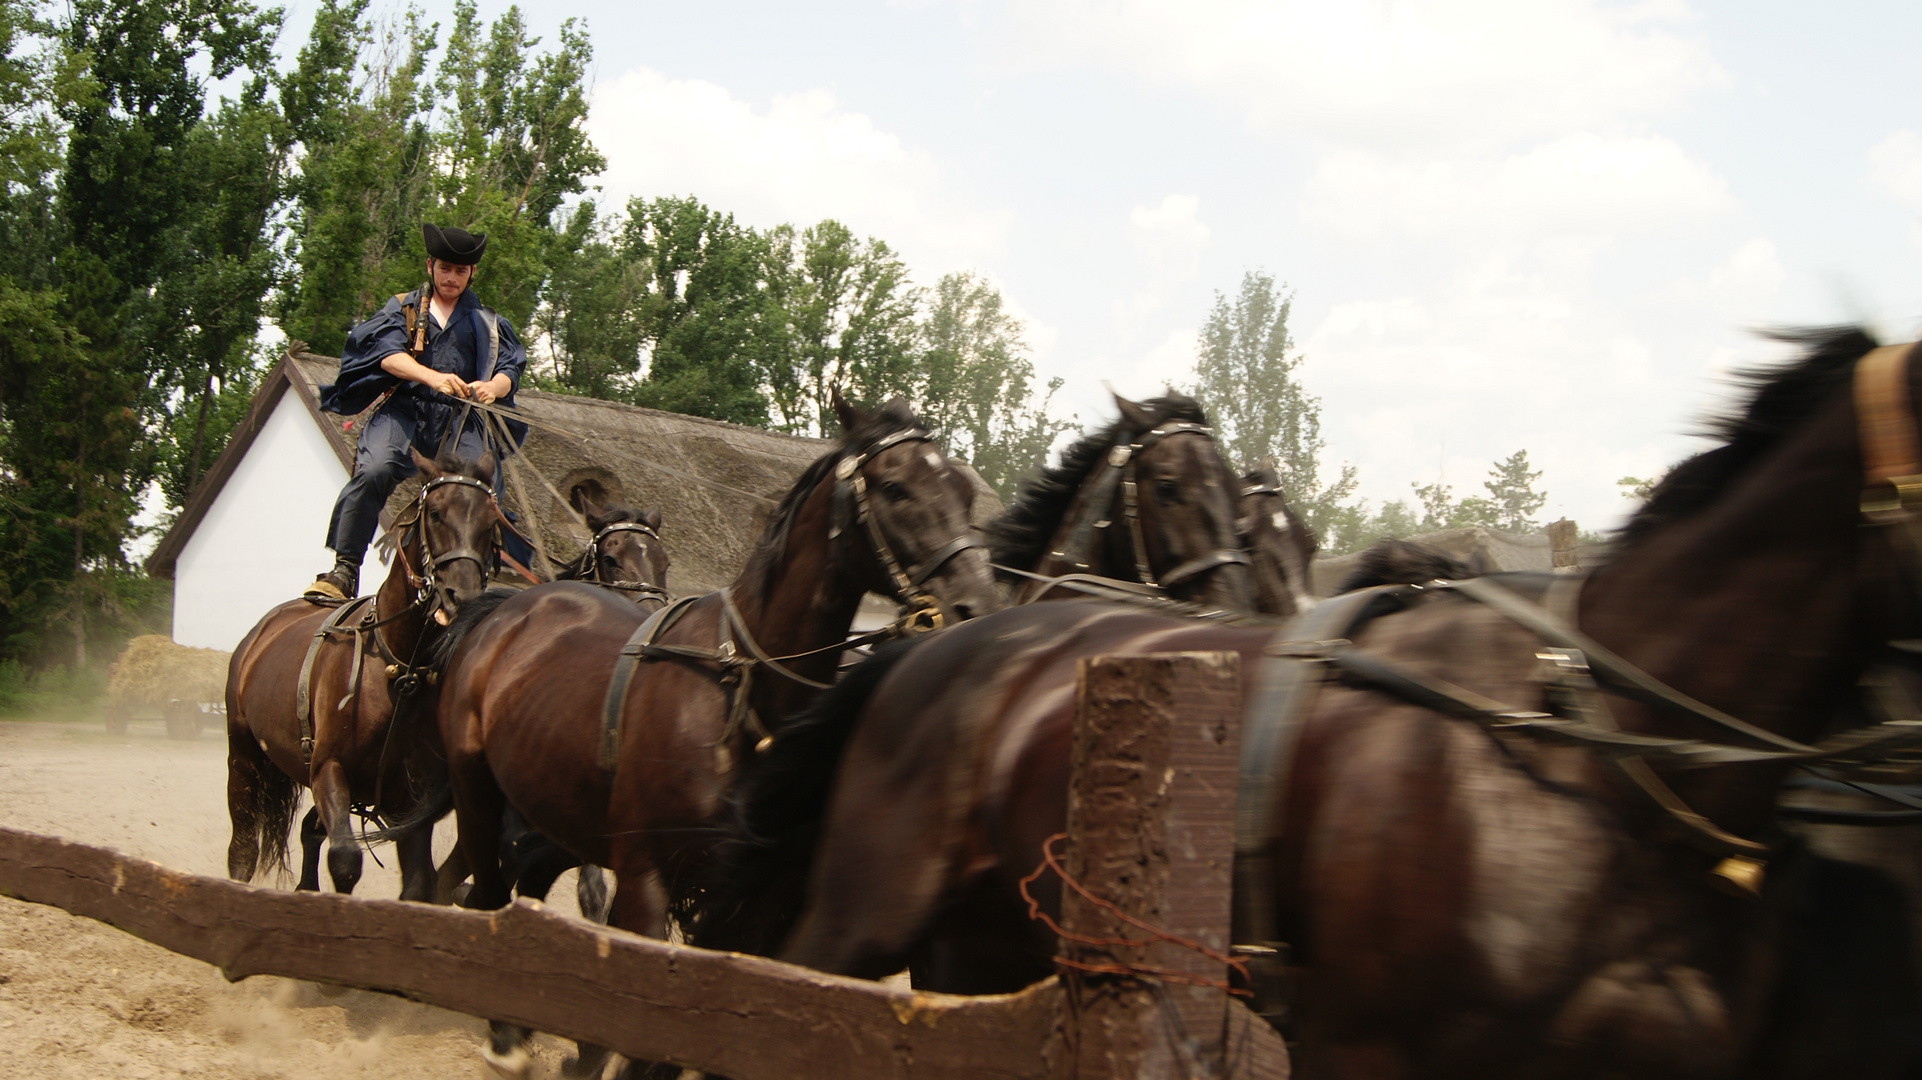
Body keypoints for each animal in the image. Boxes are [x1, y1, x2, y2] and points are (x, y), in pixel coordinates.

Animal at [225, 445, 499, 899]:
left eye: (490, 523)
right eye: (435, 513)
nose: (460, 595)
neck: (400, 670)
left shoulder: (411, 801)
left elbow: (419, 883)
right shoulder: (328, 769)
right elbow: (345, 860)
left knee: (309, 831)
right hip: (244, 757)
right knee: (243, 850)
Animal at [418, 393, 991, 1076]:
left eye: (962, 489)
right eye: (896, 487)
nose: (973, 604)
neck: (736, 695)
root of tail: (499, 611)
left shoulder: (744, 906)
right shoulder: (647, 880)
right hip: (477, 790)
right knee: (486, 891)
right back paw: (502, 1031)